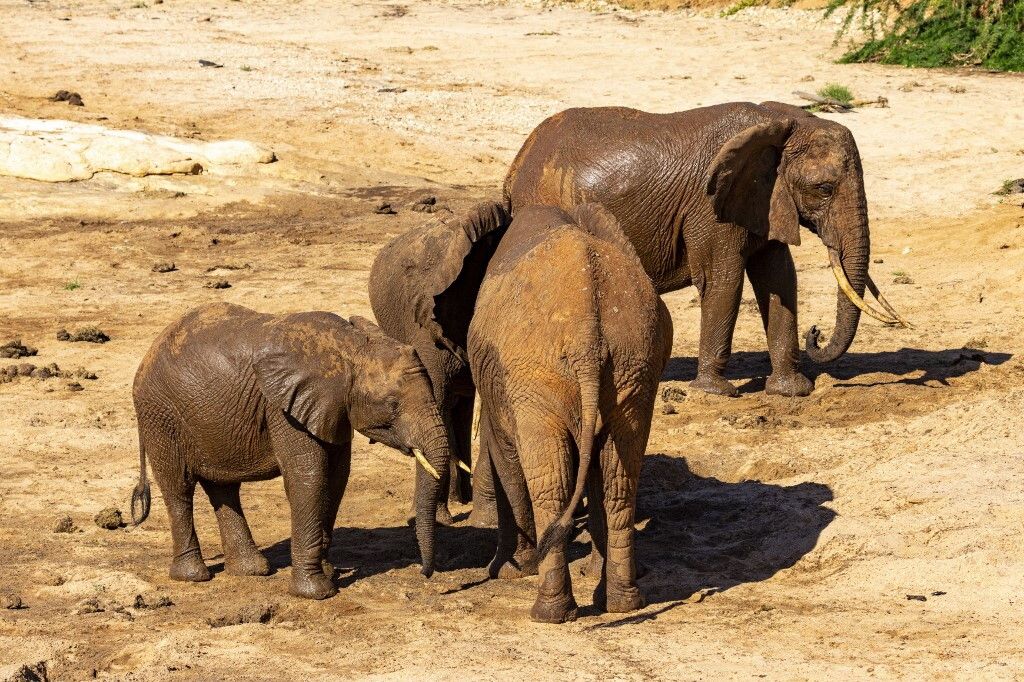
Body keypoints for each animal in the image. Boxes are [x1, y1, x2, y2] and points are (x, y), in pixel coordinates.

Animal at [130, 301, 450, 593]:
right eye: (392, 404)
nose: (425, 574)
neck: (349, 347)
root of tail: (149, 351)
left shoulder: (332, 408)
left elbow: (336, 477)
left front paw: (327, 572)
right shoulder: (283, 409)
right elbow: (309, 476)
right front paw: (317, 592)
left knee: (223, 487)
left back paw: (252, 571)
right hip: (160, 414)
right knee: (178, 487)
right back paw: (194, 576)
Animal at [466, 202, 671, 622]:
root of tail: (586, 336)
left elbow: (506, 456)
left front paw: (511, 572)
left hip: (535, 375)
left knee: (551, 485)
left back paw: (549, 612)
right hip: (633, 365)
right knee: (619, 479)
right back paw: (623, 604)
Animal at [499, 101, 909, 399]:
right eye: (824, 189)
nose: (816, 333)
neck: (780, 120)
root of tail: (517, 163)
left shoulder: (764, 200)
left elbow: (779, 277)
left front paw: (792, 392)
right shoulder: (711, 207)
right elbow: (723, 278)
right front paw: (715, 393)